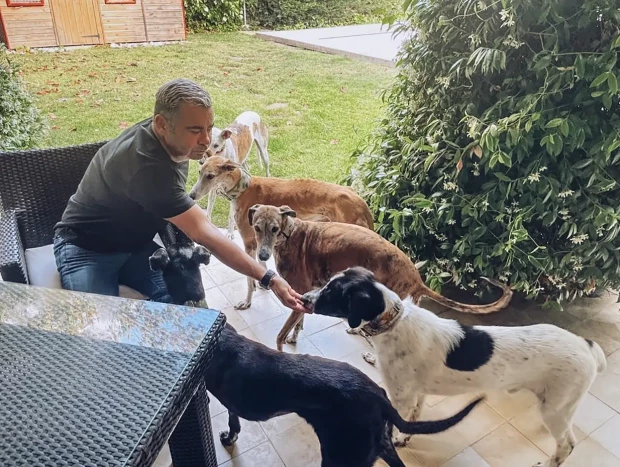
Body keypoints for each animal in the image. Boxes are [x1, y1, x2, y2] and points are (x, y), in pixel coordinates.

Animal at [302, 266, 608, 467]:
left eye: (330, 292)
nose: (304, 298)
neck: (394, 322)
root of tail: (587, 345)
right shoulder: (416, 394)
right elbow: (414, 420)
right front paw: (404, 439)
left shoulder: (400, 397)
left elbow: (400, 422)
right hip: (557, 406)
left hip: (554, 409)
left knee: (567, 444)